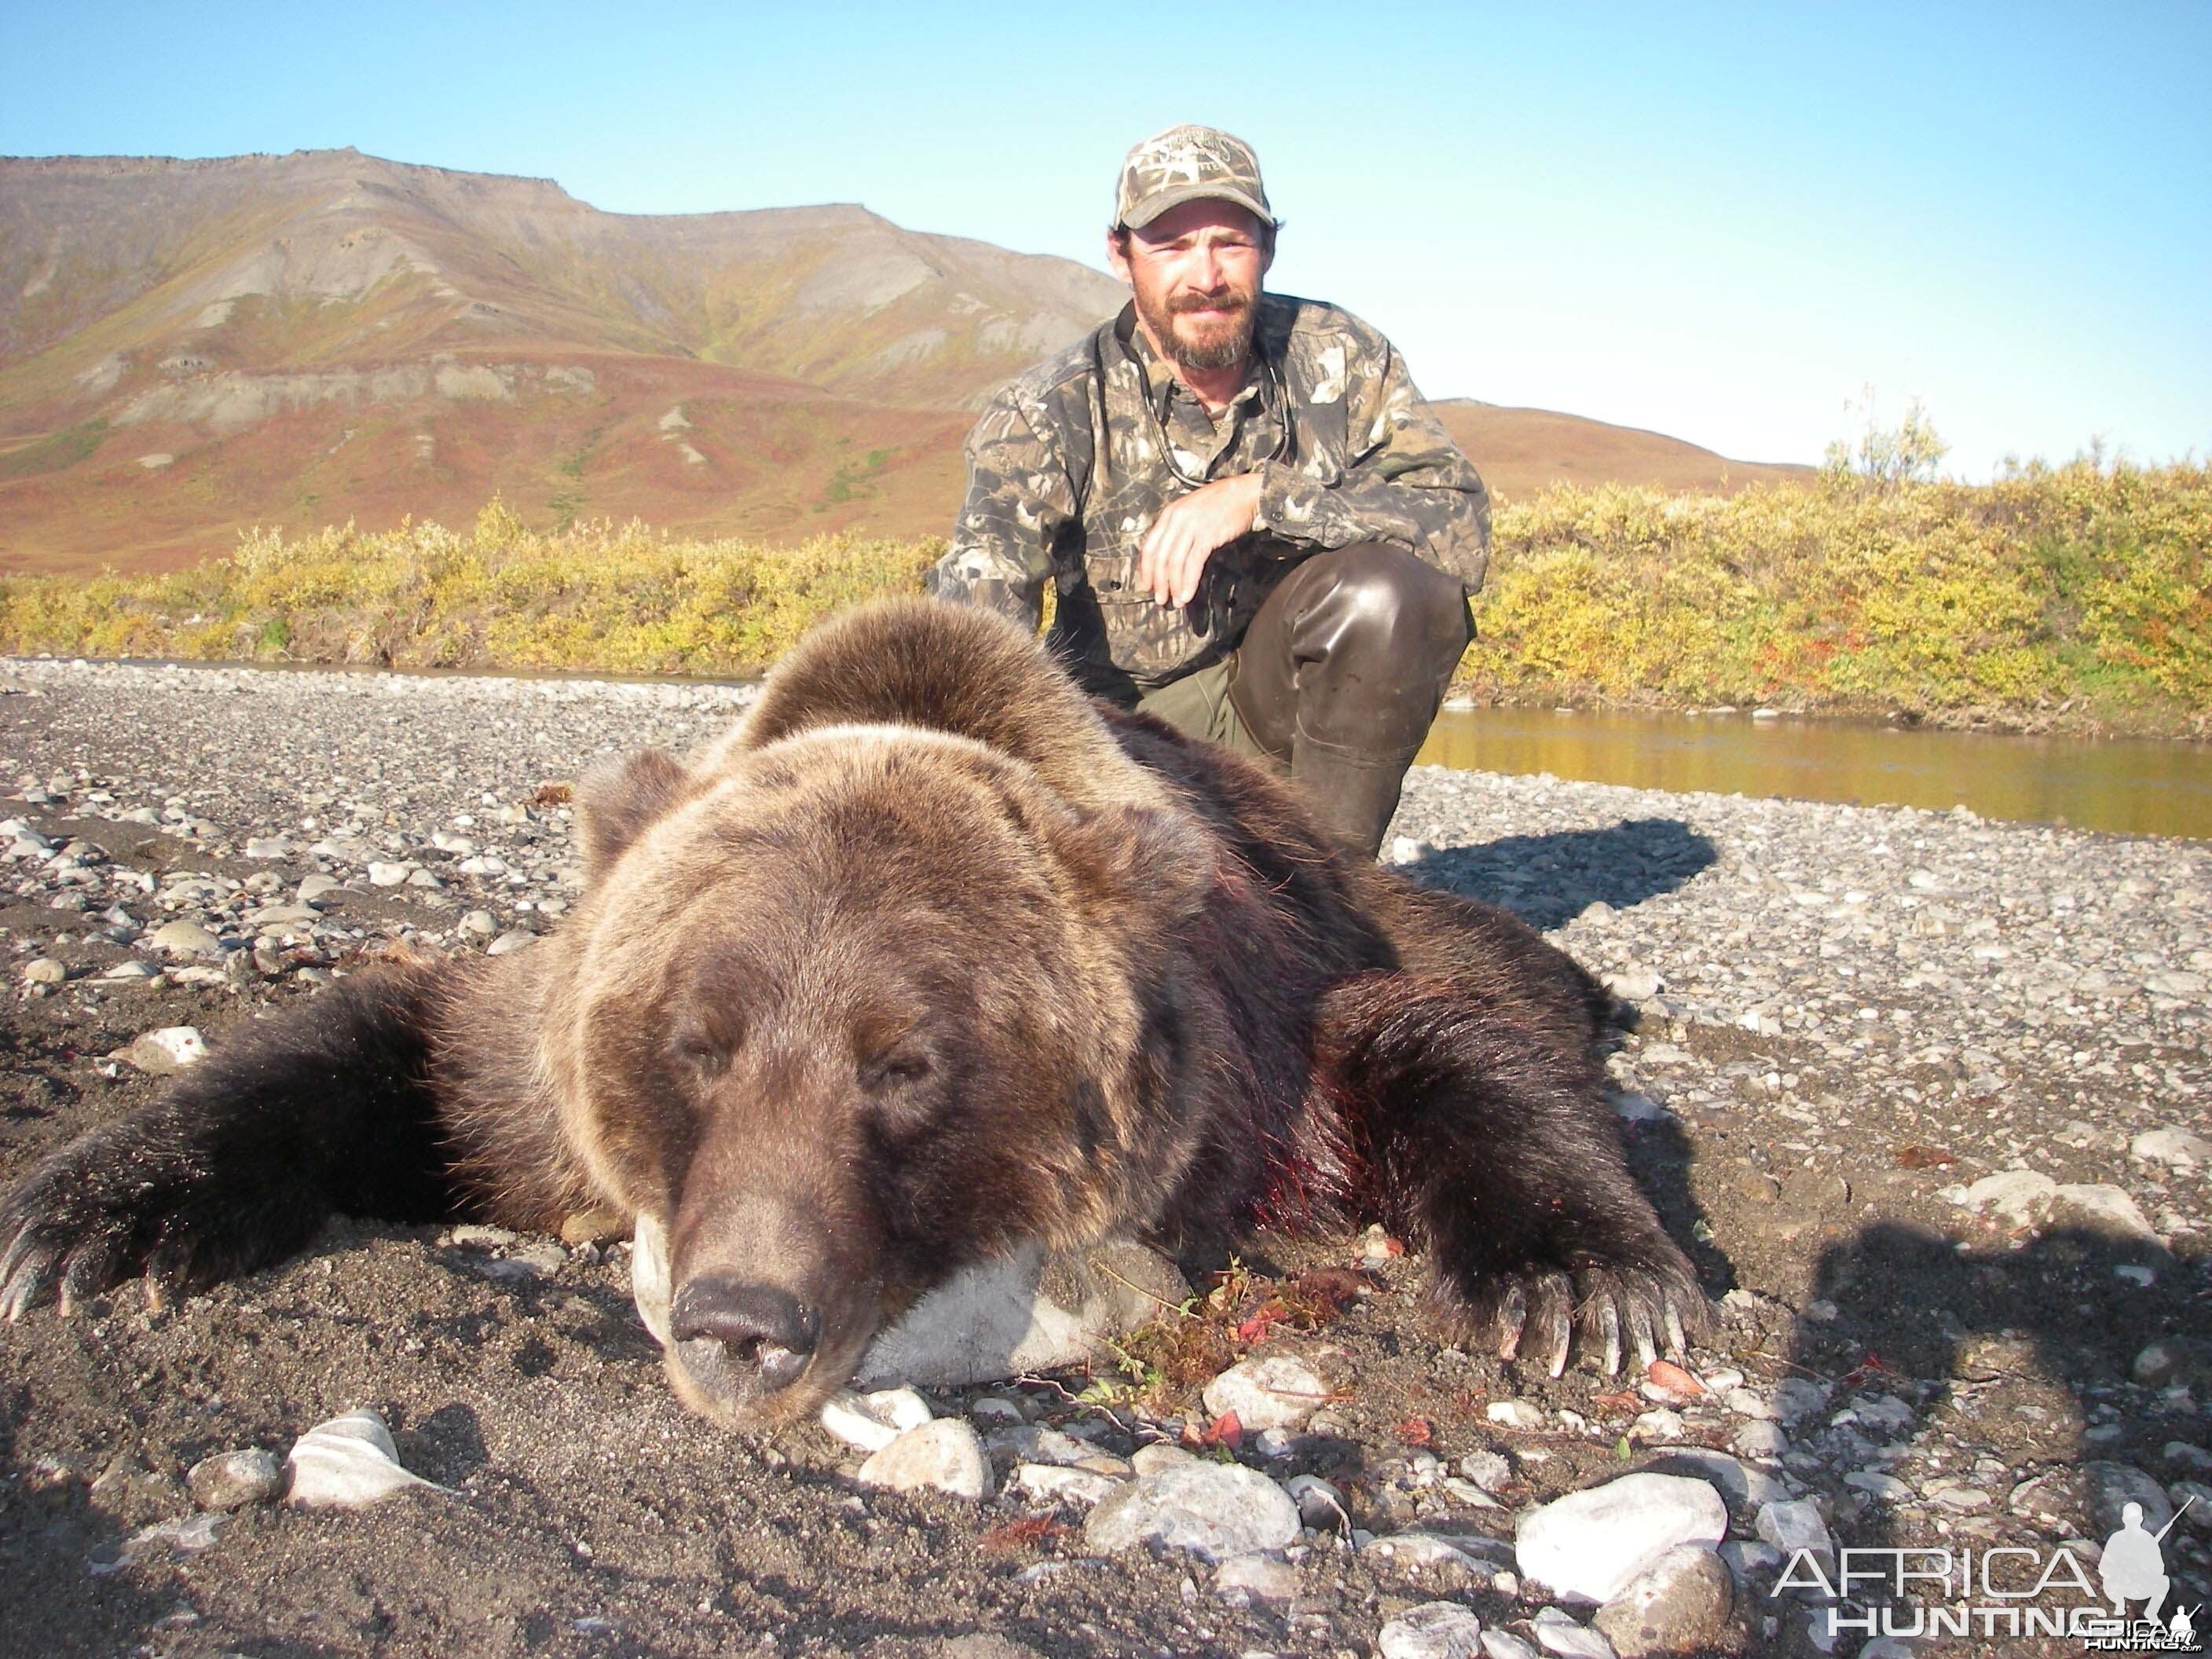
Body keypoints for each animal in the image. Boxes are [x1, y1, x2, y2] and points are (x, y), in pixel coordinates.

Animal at [0, 606, 1707, 1433]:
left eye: (910, 1066)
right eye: (692, 1041)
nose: (739, 1321)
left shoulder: (1257, 1042)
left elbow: (1425, 1036)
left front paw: (1586, 1283)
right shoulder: (535, 1068)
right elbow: (409, 1040)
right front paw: (89, 1216)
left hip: (1337, 874)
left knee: (1494, 965)